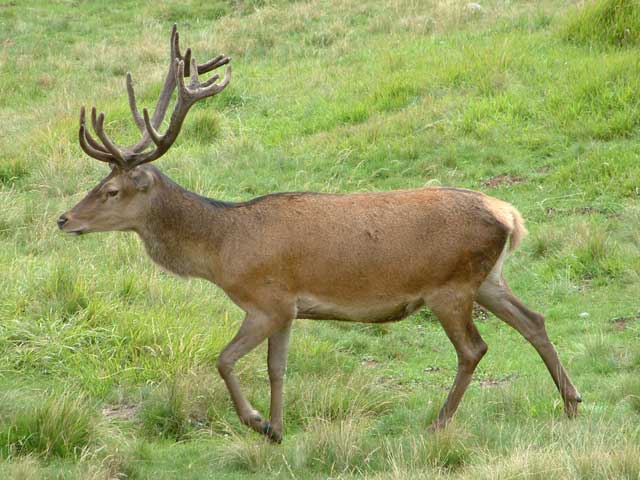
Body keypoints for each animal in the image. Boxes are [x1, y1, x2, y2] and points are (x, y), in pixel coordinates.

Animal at [57, 23, 584, 442]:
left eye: (111, 190)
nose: (64, 219)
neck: (223, 249)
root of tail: (509, 215)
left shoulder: (266, 299)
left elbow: (225, 359)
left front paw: (257, 422)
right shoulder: (289, 309)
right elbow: (277, 368)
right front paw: (277, 428)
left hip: (450, 286)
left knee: (474, 348)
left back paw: (439, 421)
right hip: (487, 277)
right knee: (534, 320)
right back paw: (572, 404)